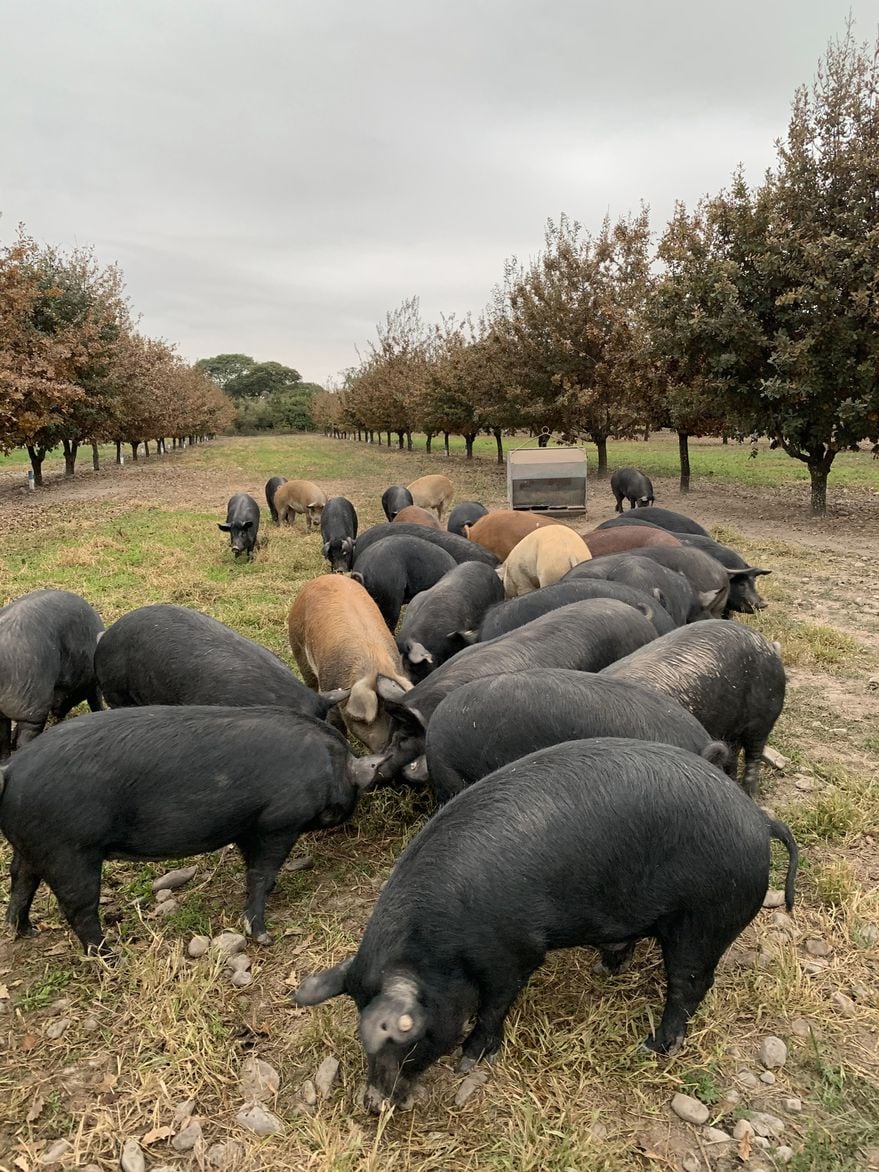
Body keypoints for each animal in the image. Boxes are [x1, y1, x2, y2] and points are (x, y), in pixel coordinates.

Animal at [287, 576, 414, 750]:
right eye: (369, 719)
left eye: (395, 717)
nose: (385, 748)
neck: (376, 666)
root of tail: (325, 577)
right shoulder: (331, 690)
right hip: (297, 644)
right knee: (309, 680)